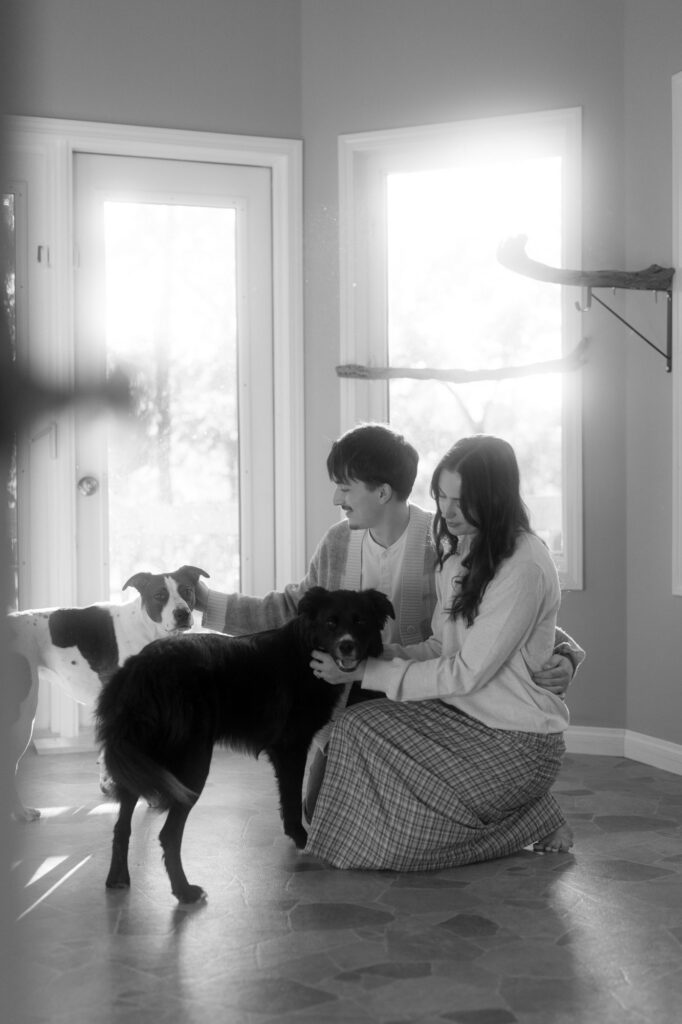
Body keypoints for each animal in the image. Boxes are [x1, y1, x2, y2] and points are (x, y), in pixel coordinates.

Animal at [7, 564, 209, 820]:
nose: (182, 613)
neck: (145, 628)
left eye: (187, 591)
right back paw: (20, 812)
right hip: (22, 714)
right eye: (160, 595)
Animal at [95, 586, 394, 903]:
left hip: (140, 762)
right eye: (331, 623)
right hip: (192, 766)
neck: (305, 651)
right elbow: (291, 801)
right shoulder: (290, 748)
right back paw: (184, 891)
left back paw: (117, 878)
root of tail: (139, 669)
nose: (347, 646)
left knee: (121, 827)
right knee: (169, 834)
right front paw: (304, 840)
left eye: (361, 621)